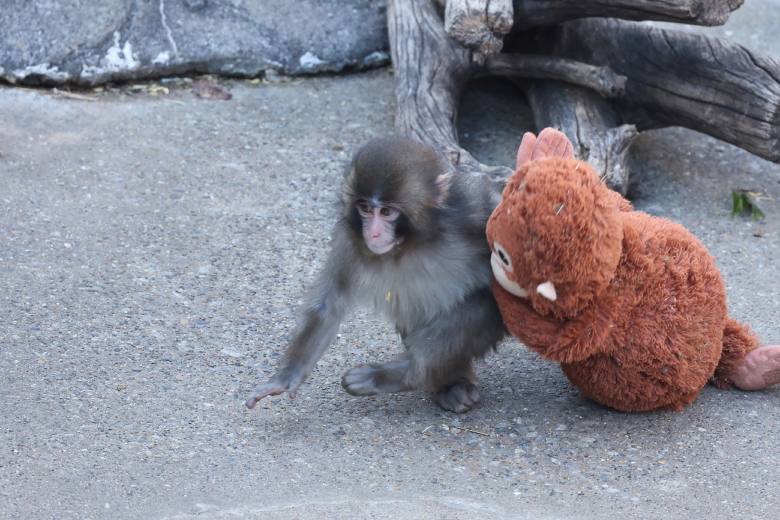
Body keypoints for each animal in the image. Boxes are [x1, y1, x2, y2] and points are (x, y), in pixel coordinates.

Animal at [245, 136, 506, 413]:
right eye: (365, 209)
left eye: (387, 212)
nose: (373, 233)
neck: (413, 243)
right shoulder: (349, 240)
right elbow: (329, 304)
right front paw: (286, 377)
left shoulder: (474, 212)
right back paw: (449, 384)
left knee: (483, 304)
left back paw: (403, 374)